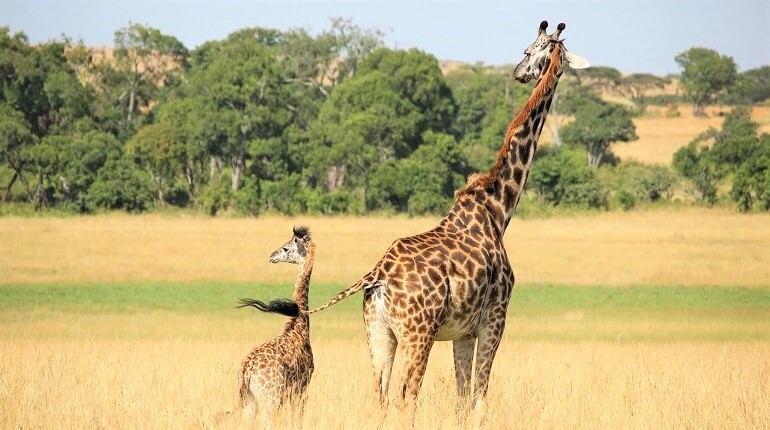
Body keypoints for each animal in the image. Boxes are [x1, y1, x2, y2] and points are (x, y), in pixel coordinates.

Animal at [237, 227, 316, 422]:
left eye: (286, 248)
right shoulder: (302, 386)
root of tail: (246, 371)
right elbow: (297, 418)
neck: (299, 326)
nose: (272, 256)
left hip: (249, 401)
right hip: (270, 399)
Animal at [312, 21, 588, 416]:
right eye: (529, 50)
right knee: (407, 396)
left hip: (379, 334)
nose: (519, 73)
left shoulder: (462, 332)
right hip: (418, 333)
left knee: (380, 397)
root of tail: (377, 274)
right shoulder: (494, 318)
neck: (498, 209)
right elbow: (479, 398)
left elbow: (461, 398)